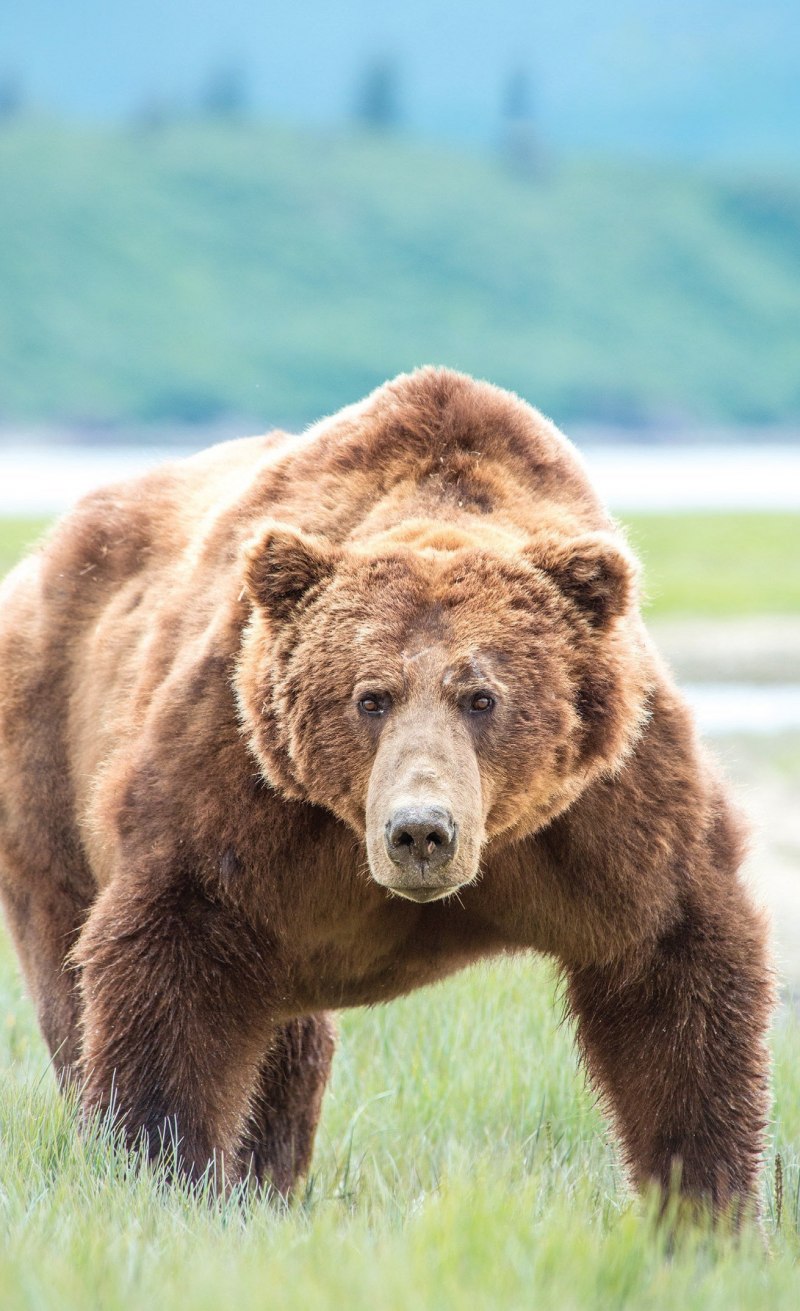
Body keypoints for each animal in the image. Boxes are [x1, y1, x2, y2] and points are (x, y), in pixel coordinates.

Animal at [0, 364, 771, 1211]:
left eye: (482, 696)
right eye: (370, 697)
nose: (420, 830)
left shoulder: (606, 808)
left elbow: (673, 975)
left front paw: (706, 1202)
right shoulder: (243, 783)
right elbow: (174, 964)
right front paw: (162, 1169)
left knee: (285, 1040)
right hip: (49, 760)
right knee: (77, 973)